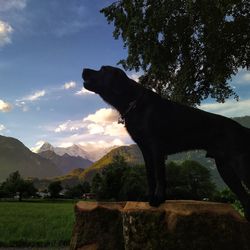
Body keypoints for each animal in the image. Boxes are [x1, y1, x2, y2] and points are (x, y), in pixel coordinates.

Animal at [82, 65, 250, 221]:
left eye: (103, 69)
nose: (83, 70)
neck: (134, 103)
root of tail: (243, 129)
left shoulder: (156, 148)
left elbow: (159, 176)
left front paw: (158, 199)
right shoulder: (145, 150)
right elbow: (150, 176)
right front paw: (149, 199)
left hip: (240, 166)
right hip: (225, 169)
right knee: (245, 198)